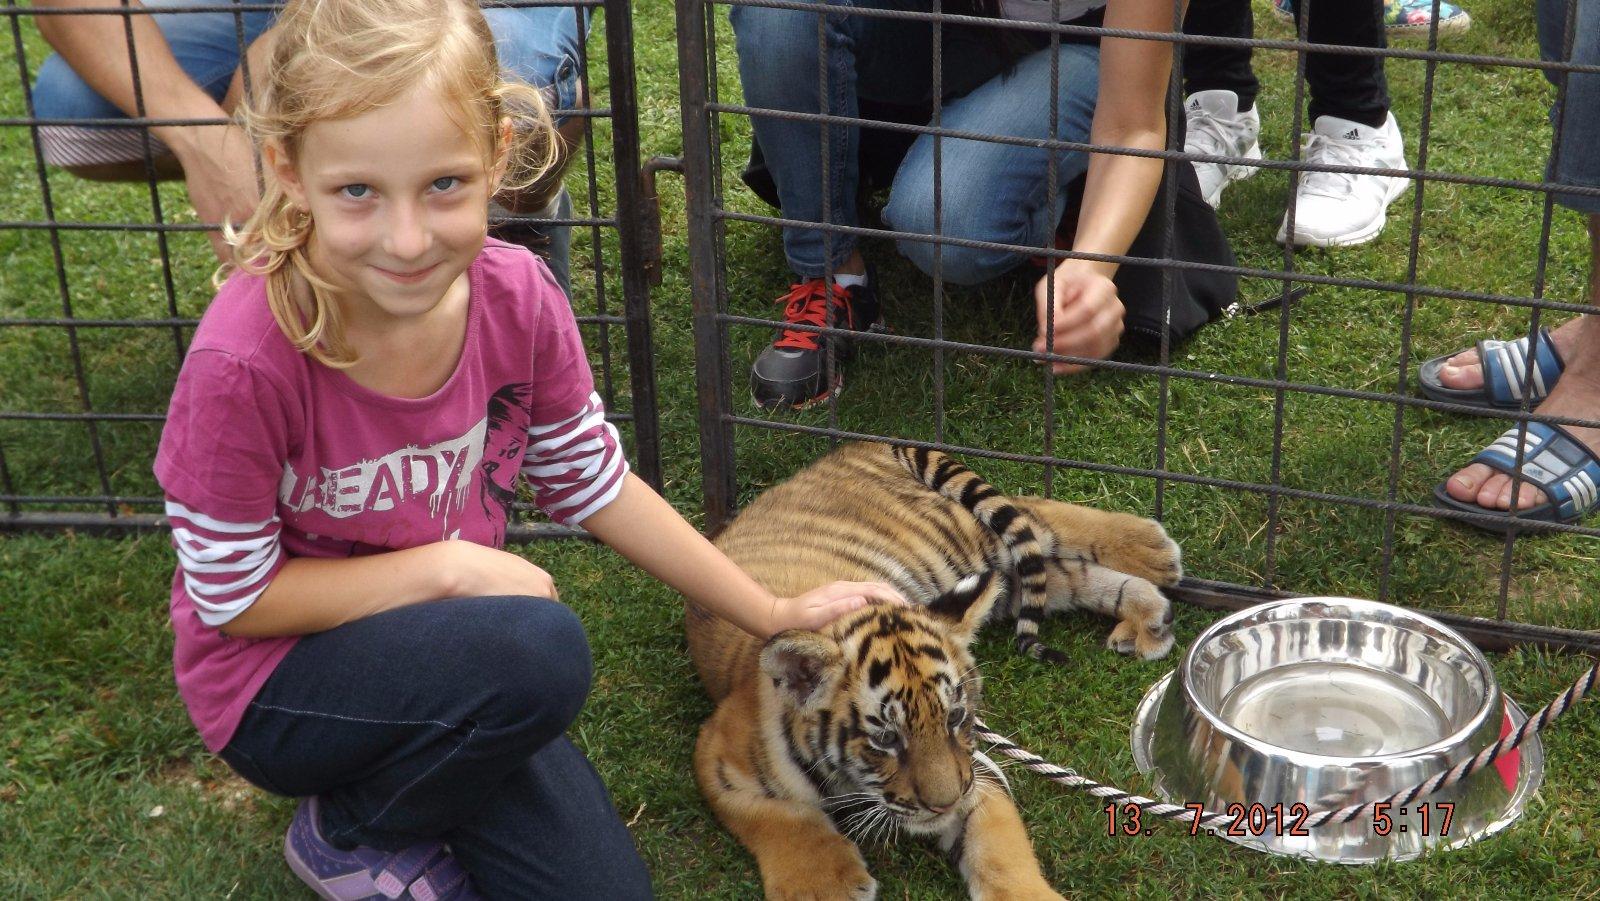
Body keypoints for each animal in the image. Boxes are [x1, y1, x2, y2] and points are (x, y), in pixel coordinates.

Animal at [687, 441, 1183, 899]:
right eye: (886, 739)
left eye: (956, 717)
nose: (944, 803)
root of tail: (861, 444)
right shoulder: (718, 760)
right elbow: (779, 818)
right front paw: (825, 885)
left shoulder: (977, 774)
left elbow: (1001, 854)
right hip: (1000, 581)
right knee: (1058, 570)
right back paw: (1149, 615)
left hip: (965, 542)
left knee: (1037, 513)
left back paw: (1153, 550)